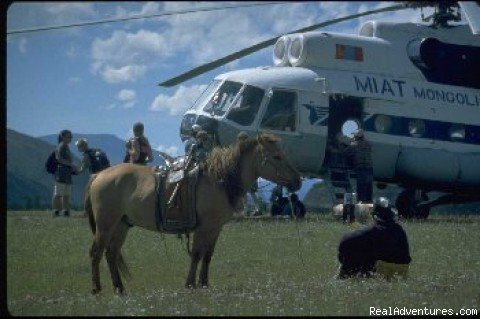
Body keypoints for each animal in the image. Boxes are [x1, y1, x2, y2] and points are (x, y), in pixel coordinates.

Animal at [83, 133, 300, 296]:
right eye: (277, 157)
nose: (297, 181)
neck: (218, 180)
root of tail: (98, 175)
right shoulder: (202, 228)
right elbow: (196, 254)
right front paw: (190, 284)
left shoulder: (214, 228)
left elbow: (208, 256)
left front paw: (204, 283)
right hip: (105, 225)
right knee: (96, 252)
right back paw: (96, 289)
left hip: (121, 224)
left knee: (111, 253)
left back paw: (119, 288)